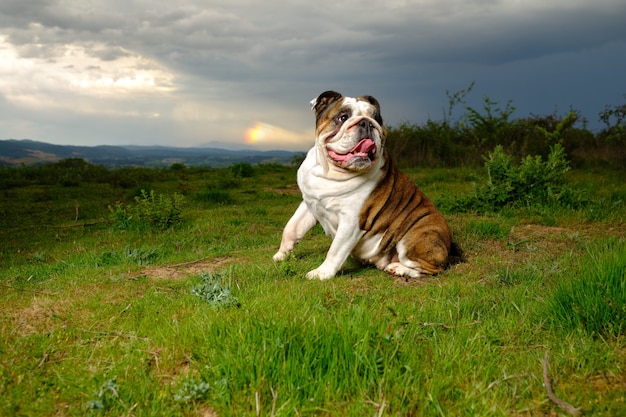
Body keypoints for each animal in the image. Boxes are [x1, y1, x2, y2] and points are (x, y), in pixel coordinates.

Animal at [272, 91, 454, 280]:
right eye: (343, 117)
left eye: (377, 119)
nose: (367, 122)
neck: (331, 171)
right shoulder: (309, 203)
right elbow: (291, 228)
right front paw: (281, 255)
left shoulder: (351, 221)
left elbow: (335, 250)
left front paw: (322, 273)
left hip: (415, 236)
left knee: (432, 269)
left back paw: (399, 268)